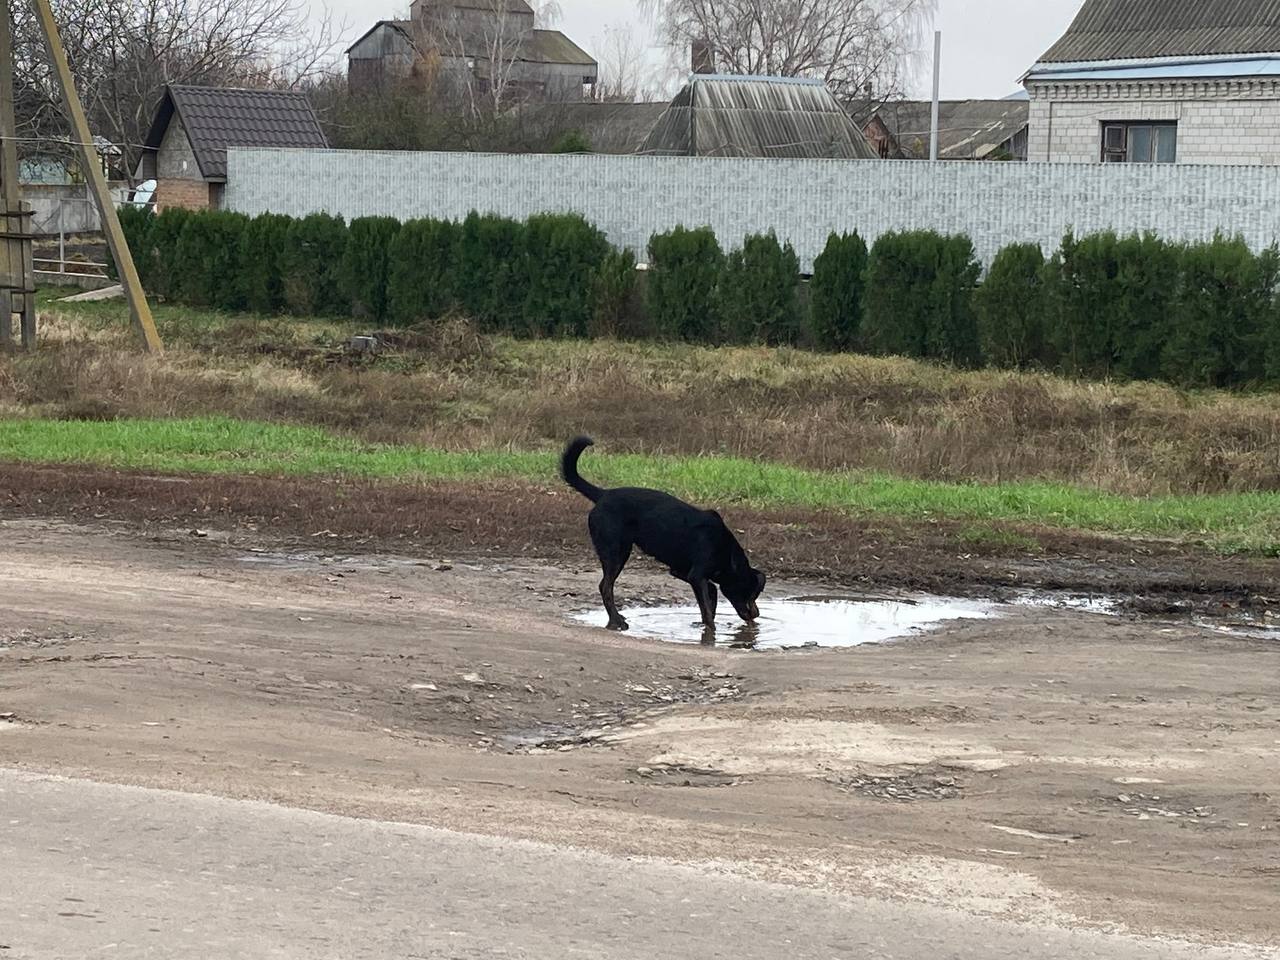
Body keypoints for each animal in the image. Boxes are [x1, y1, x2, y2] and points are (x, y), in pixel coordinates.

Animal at [558, 440, 757, 634]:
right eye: (751, 593)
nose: (756, 615)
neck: (726, 551)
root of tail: (603, 494)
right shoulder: (696, 575)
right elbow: (708, 607)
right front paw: (711, 631)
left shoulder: (681, 570)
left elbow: (710, 594)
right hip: (616, 551)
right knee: (605, 587)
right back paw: (616, 621)